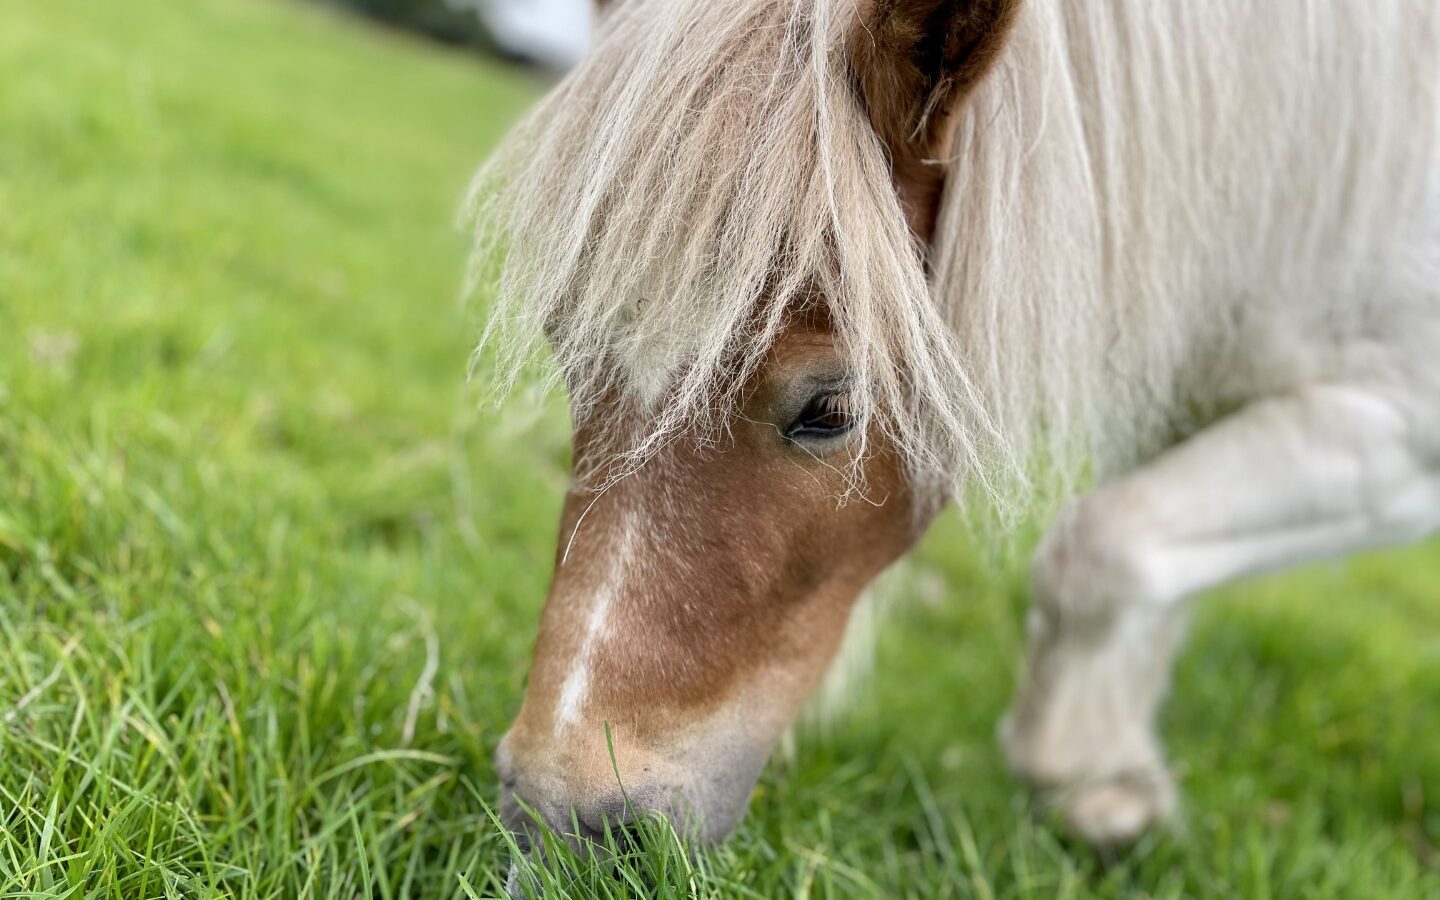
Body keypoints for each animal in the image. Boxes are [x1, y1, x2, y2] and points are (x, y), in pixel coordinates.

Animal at [466, 0, 1434, 846]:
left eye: (830, 410)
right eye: (567, 351)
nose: (556, 818)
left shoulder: (1402, 432)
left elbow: (1103, 548)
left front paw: (1084, 779)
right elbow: (1154, 578)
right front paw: (1115, 764)